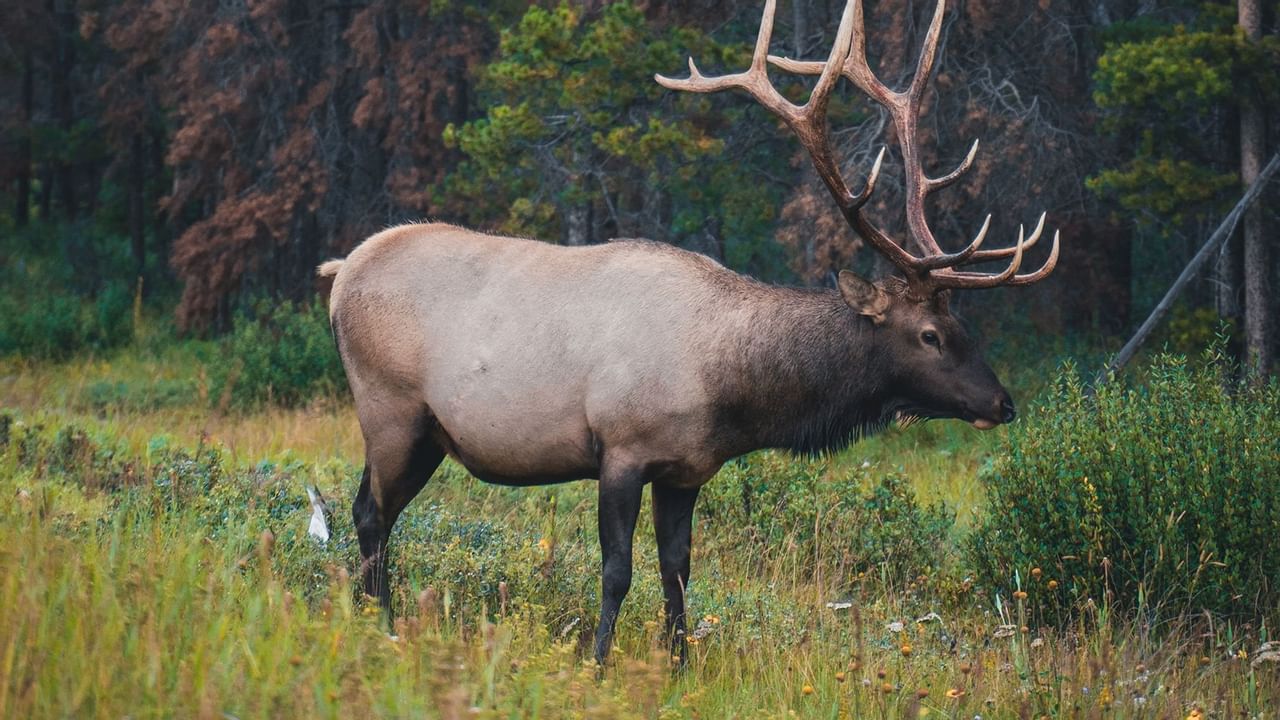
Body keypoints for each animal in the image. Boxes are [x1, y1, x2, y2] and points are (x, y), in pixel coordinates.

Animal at [318, 0, 1059, 668]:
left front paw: (679, 664)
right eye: (931, 334)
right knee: (369, 514)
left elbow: (678, 568)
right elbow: (617, 568)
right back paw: (380, 627)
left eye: (963, 324)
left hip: (427, 433)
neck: (729, 390)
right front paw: (598, 662)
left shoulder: (687, 469)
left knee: (371, 511)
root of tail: (341, 268)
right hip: (389, 409)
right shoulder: (621, 448)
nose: (1002, 403)